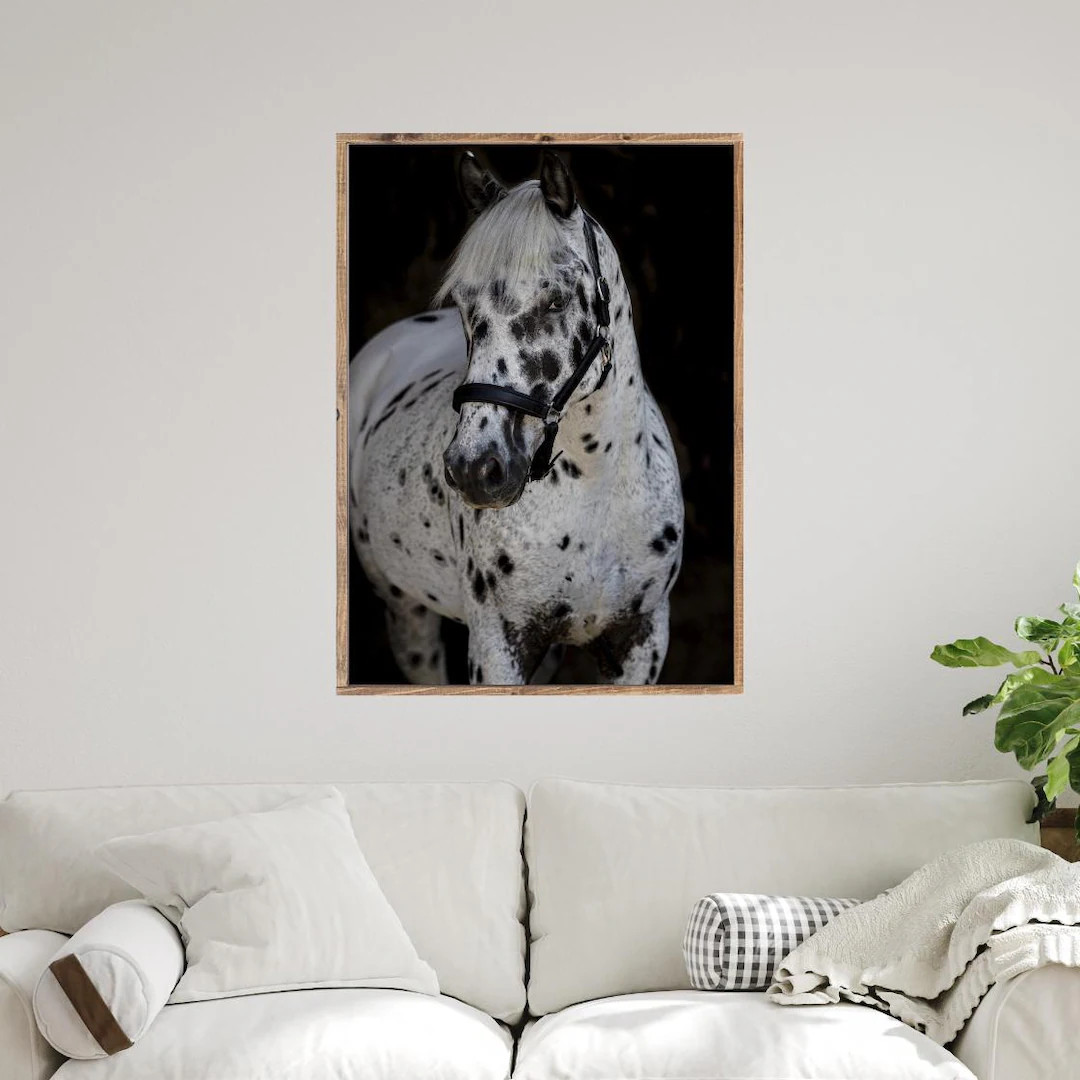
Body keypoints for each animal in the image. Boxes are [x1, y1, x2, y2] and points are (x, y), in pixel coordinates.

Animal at [348, 151, 684, 685]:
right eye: (464, 306)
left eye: (557, 299)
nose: (475, 469)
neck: (596, 490)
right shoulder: (498, 646)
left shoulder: (641, 640)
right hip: (407, 613)